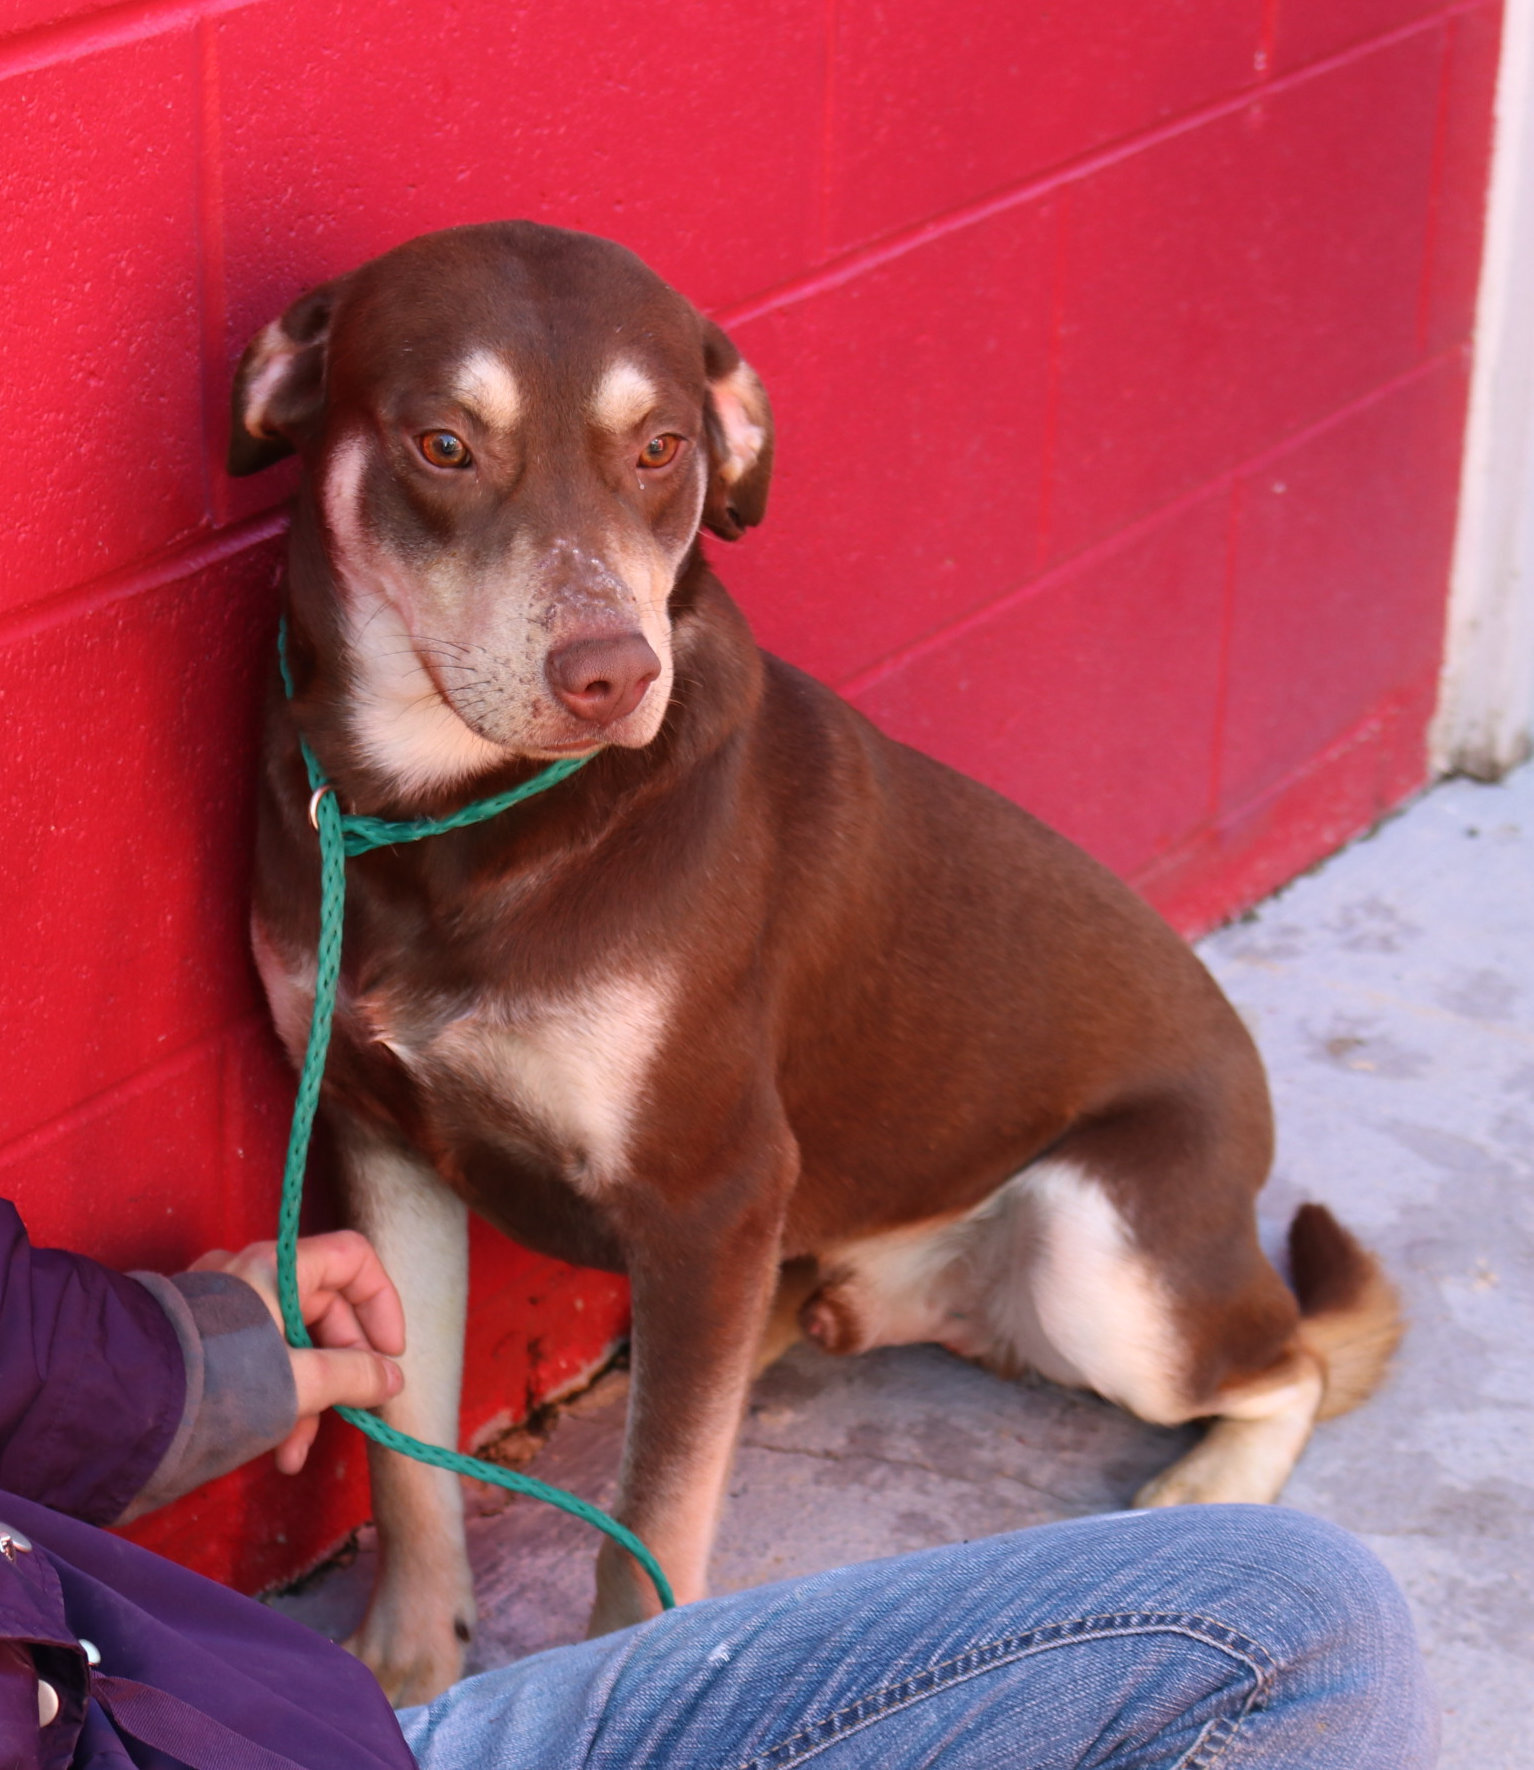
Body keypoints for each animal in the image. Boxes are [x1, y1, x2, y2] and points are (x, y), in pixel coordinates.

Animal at [231, 221, 1401, 1699]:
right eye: (444, 444)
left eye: (660, 447)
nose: (613, 675)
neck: (457, 819)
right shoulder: (376, 1136)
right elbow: (403, 1456)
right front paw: (404, 1665)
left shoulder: (707, 1192)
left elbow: (651, 1523)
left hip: (1107, 1258)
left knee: (1289, 1363)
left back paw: (1208, 1484)